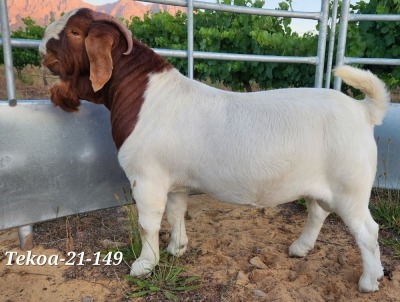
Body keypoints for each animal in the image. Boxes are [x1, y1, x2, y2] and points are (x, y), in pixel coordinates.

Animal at [40, 8, 390, 292]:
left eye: (74, 32)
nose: (42, 48)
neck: (143, 94)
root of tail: (364, 111)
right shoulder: (175, 181)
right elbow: (176, 212)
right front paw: (177, 248)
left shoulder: (146, 177)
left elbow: (148, 222)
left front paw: (144, 265)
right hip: (322, 183)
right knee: (318, 211)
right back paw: (299, 249)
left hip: (350, 186)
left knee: (367, 231)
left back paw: (369, 281)